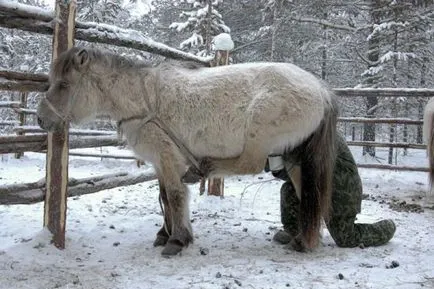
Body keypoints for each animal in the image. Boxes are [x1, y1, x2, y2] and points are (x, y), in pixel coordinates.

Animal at [37, 46, 340, 254]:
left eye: (64, 84)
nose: (41, 119)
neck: (144, 101)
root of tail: (321, 90)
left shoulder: (168, 158)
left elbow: (174, 195)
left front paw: (177, 239)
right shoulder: (159, 162)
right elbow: (164, 197)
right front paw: (165, 233)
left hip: (260, 136)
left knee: (249, 164)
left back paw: (204, 168)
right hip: (293, 157)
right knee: (305, 192)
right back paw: (301, 239)